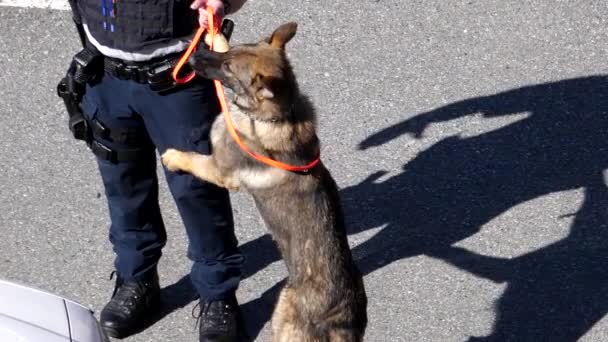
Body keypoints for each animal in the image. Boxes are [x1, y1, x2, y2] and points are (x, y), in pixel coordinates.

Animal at [160, 22, 366, 340]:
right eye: (231, 52)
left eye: (228, 68)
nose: (192, 56)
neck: (280, 116)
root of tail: (341, 318)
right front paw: (215, 33)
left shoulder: (220, 170)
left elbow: (193, 159)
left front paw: (173, 158)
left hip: (282, 313)